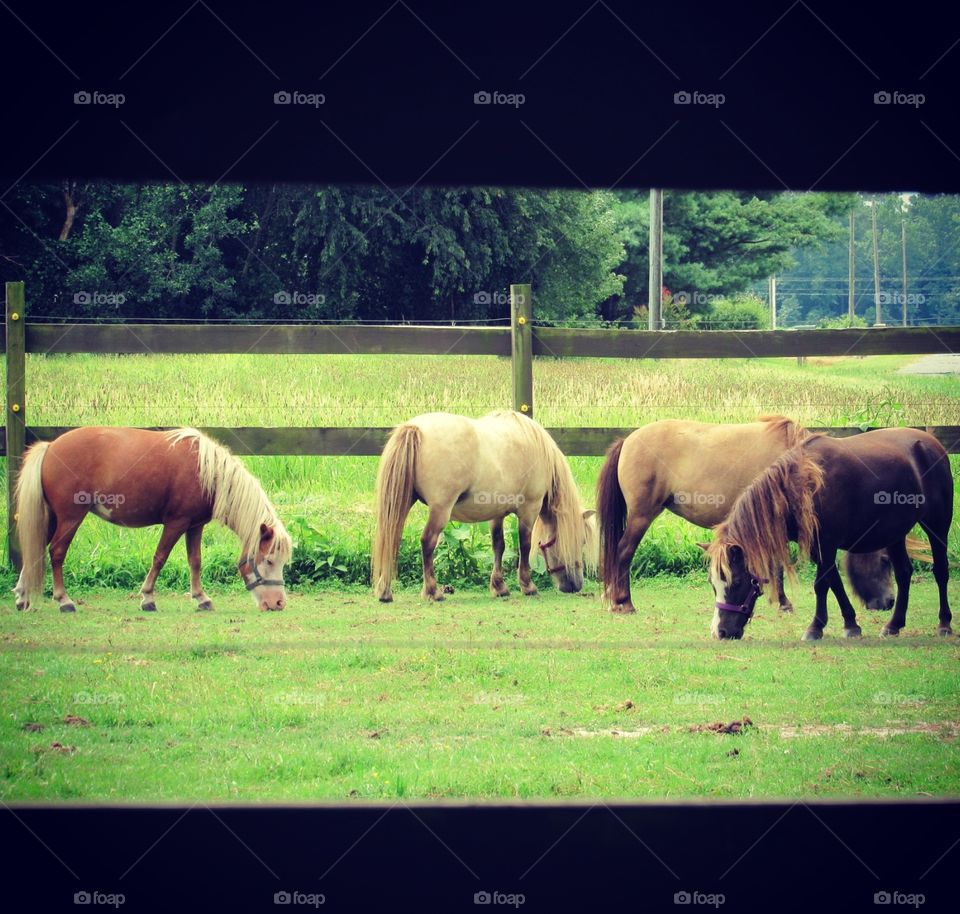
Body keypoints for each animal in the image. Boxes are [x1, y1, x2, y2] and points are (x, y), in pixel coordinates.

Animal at [13, 427, 292, 613]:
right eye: (268, 560)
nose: (278, 603)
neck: (208, 472)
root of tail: (50, 447)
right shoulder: (176, 523)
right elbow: (160, 558)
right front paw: (147, 598)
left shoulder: (194, 526)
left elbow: (195, 561)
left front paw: (201, 598)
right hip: (70, 518)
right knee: (56, 552)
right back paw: (64, 601)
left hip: (52, 518)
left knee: (35, 549)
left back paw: (22, 596)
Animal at [372, 410, 597, 602]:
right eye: (582, 540)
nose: (577, 585)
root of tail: (415, 428)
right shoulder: (529, 510)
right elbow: (524, 545)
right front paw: (527, 586)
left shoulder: (496, 513)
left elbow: (499, 545)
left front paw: (499, 587)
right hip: (440, 510)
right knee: (427, 542)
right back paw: (433, 591)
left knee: (390, 538)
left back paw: (385, 592)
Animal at [596, 416, 892, 615]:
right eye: (884, 560)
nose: (886, 603)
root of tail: (628, 440)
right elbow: (777, 563)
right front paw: (782, 602)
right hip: (641, 516)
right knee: (624, 553)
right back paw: (624, 603)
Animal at [705, 428, 953, 641]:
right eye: (712, 583)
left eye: (736, 582)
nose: (721, 632)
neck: (806, 483)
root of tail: (931, 443)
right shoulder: (819, 547)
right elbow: (834, 582)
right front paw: (850, 624)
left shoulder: (827, 543)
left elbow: (821, 584)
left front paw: (816, 628)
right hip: (895, 533)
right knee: (903, 573)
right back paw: (893, 625)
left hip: (937, 524)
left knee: (941, 571)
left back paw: (944, 624)